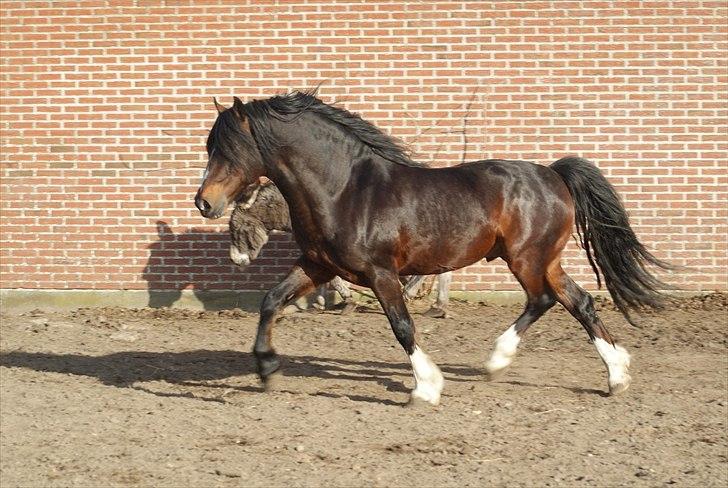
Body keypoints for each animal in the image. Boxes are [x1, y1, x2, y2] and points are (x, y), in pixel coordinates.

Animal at [193, 89, 672, 406]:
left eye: (230, 149)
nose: (204, 202)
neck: (344, 189)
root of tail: (554, 174)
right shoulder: (318, 266)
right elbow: (271, 301)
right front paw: (266, 370)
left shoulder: (381, 274)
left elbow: (403, 326)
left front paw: (425, 388)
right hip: (545, 259)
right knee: (580, 301)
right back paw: (616, 376)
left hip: (526, 259)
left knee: (543, 300)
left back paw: (497, 362)